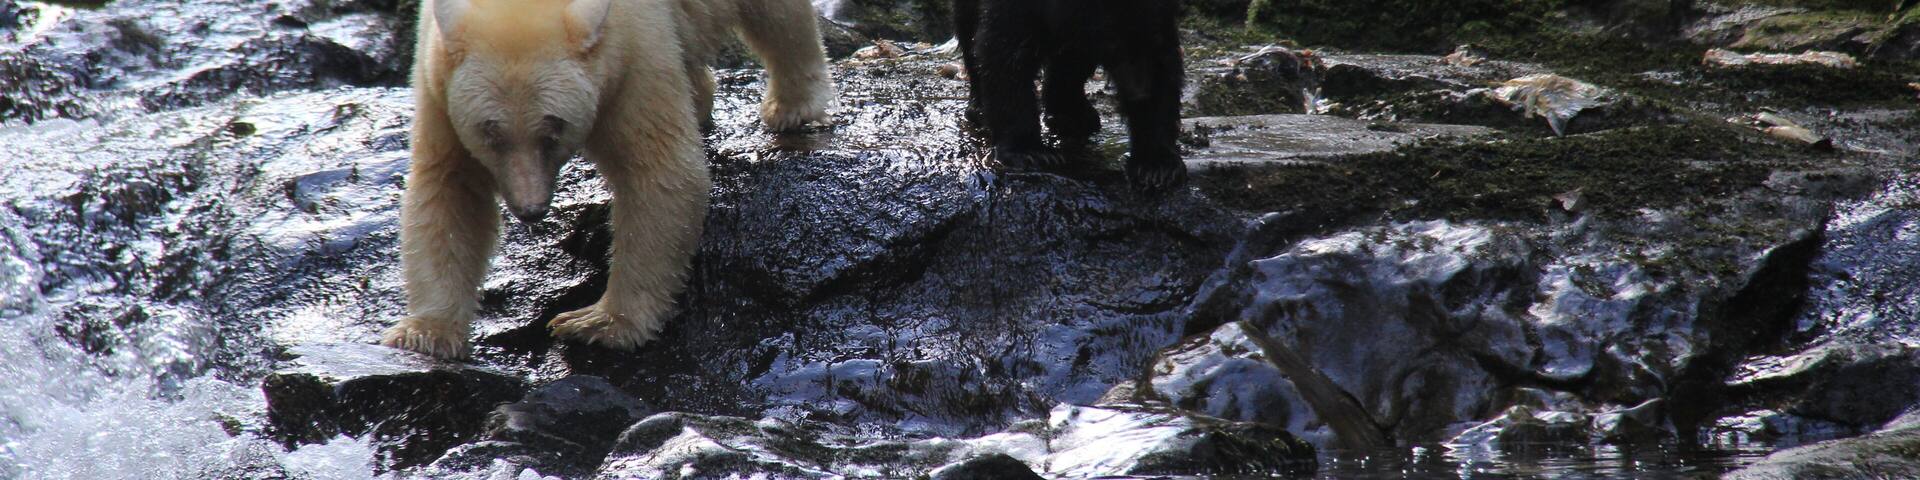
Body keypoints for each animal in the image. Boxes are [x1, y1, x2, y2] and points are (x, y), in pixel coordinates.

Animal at [381, 0, 834, 359]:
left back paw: (792, 105)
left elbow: (659, 170)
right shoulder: (437, 80)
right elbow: (450, 186)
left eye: (553, 129)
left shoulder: (632, 50)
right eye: (490, 131)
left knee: (778, 16)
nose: (531, 210)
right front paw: (426, 333)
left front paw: (596, 323)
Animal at [954, 0, 1188, 191]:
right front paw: (1031, 153)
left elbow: (1167, 63)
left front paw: (1156, 166)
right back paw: (979, 109)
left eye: (1151, 40)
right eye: (1113, 46)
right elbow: (1004, 52)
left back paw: (1074, 116)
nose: (1140, 93)